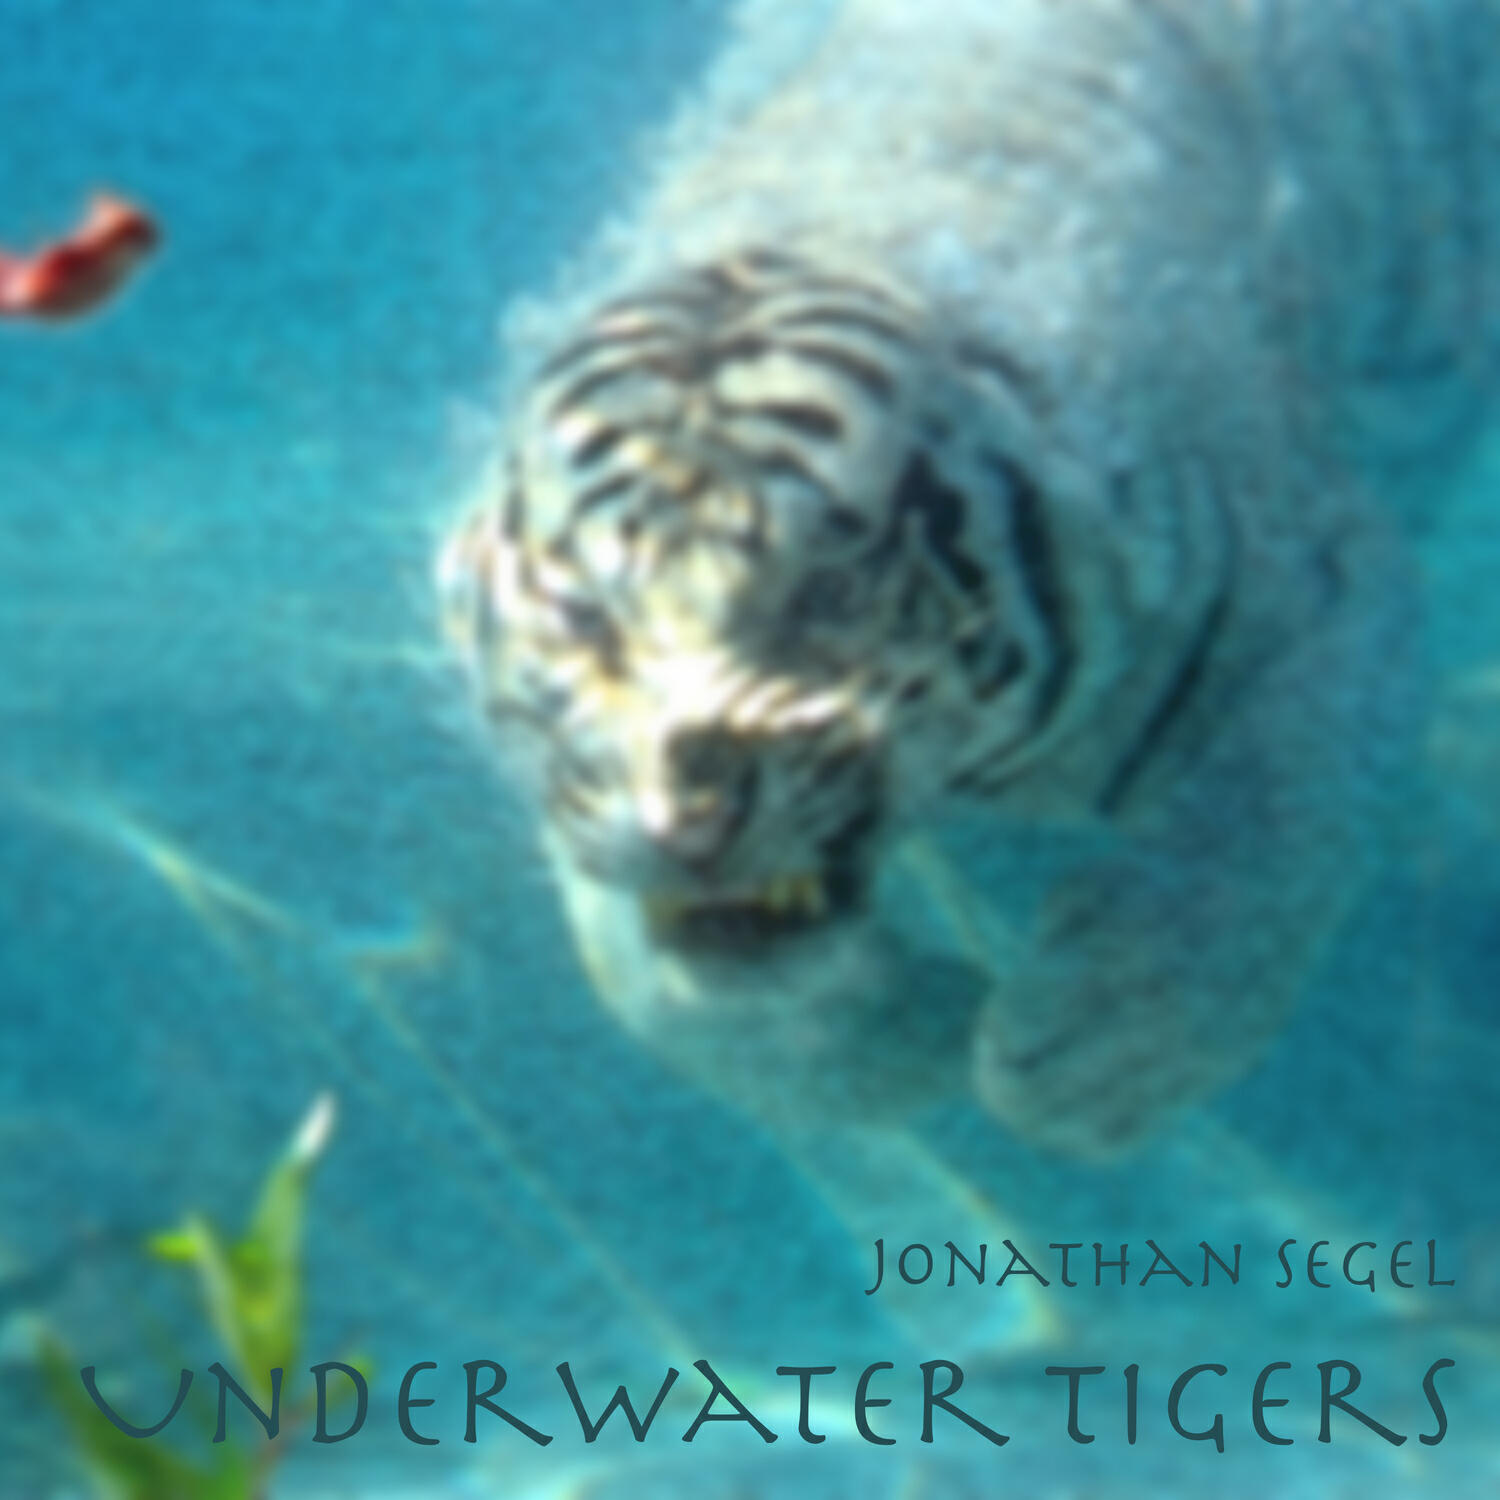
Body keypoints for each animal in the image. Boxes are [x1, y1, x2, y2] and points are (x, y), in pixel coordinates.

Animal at [436, 0, 1499, 1154]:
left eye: (825, 597)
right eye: (587, 617)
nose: (688, 827)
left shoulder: (1324, 580)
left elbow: (1273, 815)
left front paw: (1109, 1046)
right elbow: (649, 982)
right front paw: (909, 1042)